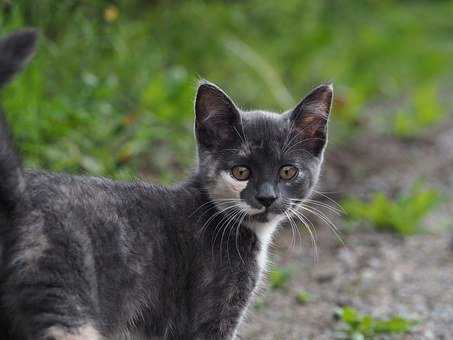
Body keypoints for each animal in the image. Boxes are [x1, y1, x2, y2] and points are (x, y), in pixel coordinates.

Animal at [0, 29, 332, 340]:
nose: (266, 197)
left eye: (287, 172)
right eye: (241, 172)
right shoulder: (210, 315)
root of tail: (20, 193)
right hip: (65, 298)